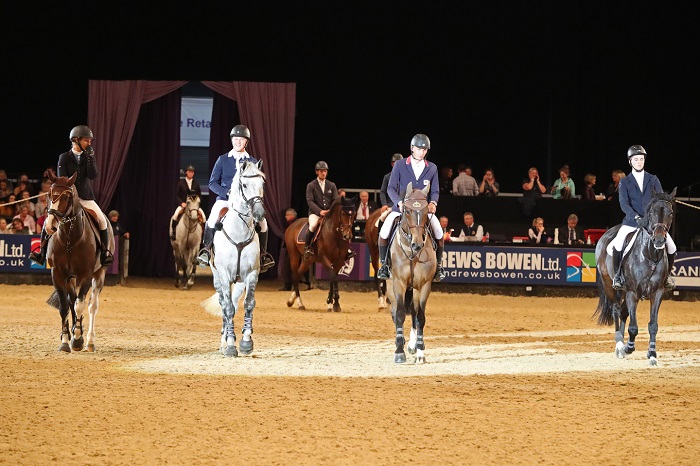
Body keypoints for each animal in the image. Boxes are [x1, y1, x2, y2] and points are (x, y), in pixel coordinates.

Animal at [43, 173, 114, 352]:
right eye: (49, 194)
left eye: (66, 196)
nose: (50, 226)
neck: (69, 238)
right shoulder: (58, 274)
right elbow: (65, 307)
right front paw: (65, 341)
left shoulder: (86, 275)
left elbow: (80, 305)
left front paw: (77, 339)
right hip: (71, 279)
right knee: (71, 301)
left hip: (99, 274)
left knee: (92, 306)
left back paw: (89, 341)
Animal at [202, 160, 268, 356]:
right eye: (244, 185)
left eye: (262, 184)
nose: (259, 213)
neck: (239, 231)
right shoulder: (224, 275)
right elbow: (228, 308)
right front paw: (230, 345)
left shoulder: (252, 274)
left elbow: (248, 304)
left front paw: (246, 342)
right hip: (218, 278)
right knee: (225, 304)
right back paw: (224, 342)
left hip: (239, 282)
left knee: (235, 303)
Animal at [388, 182, 438, 364]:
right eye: (408, 210)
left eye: (426, 211)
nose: (417, 244)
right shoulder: (399, 283)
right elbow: (400, 314)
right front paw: (399, 352)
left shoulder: (424, 285)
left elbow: (420, 317)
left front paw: (420, 352)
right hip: (390, 285)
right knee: (395, 312)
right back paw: (401, 341)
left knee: (414, 312)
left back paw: (411, 345)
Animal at [592, 187, 676, 366]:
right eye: (651, 212)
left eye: (670, 213)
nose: (659, 240)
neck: (650, 254)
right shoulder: (633, 293)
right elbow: (633, 327)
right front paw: (628, 348)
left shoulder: (657, 293)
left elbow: (653, 325)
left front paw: (652, 354)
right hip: (611, 286)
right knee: (617, 311)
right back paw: (619, 346)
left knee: (624, 312)